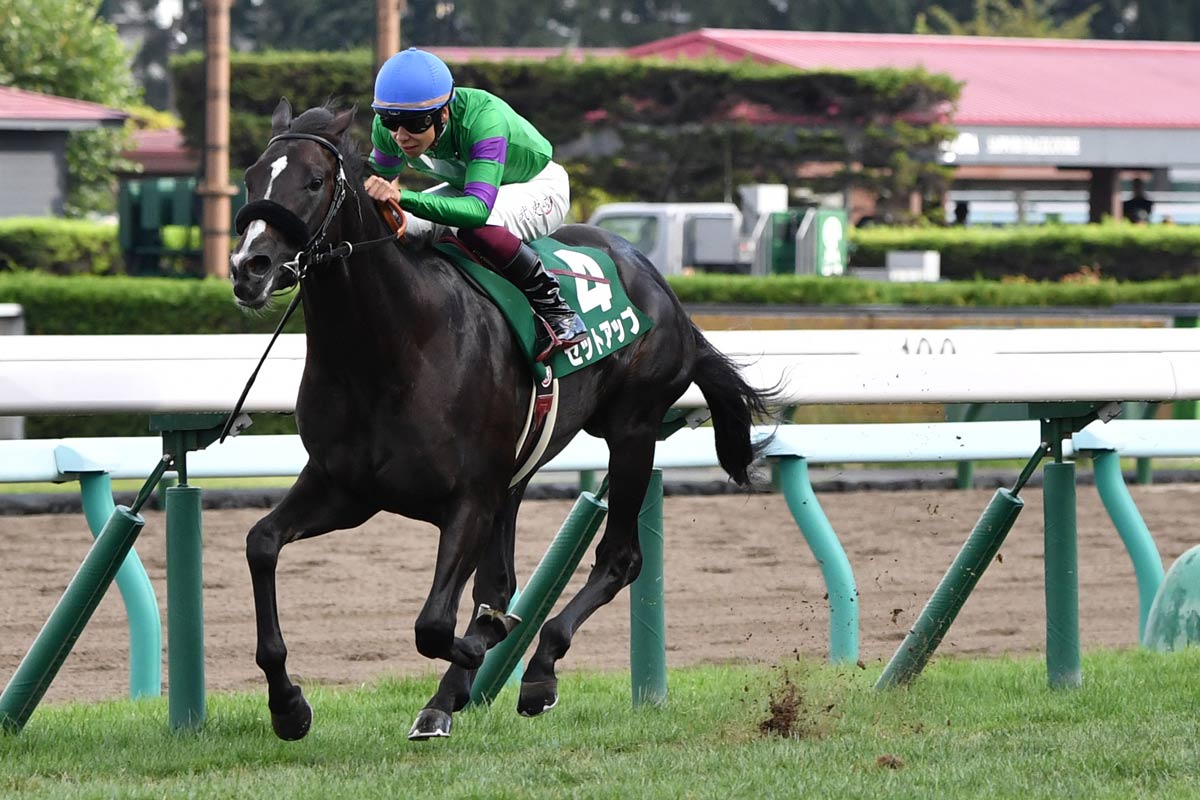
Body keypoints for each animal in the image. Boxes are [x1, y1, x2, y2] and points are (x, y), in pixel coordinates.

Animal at [228, 99, 775, 742]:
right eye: (250, 178)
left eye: (314, 181)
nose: (249, 267)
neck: (390, 348)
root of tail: (662, 285)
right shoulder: (345, 487)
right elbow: (262, 544)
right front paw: (288, 705)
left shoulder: (469, 497)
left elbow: (435, 625)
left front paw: (485, 648)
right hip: (521, 466)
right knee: (501, 581)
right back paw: (453, 693)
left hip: (633, 431)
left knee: (619, 559)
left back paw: (536, 672)